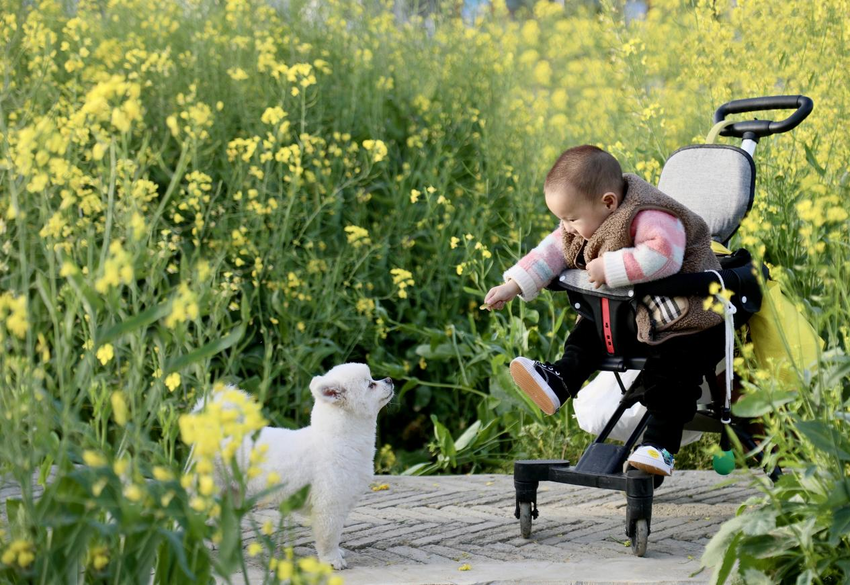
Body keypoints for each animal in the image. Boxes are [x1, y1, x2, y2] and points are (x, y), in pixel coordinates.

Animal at [200, 363, 393, 569]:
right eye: (370, 385)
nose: (389, 379)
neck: (340, 439)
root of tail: (216, 429)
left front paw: (337, 553)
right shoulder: (329, 506)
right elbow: (329, 538)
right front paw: (332, 560)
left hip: (232, 493)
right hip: (212, 489)